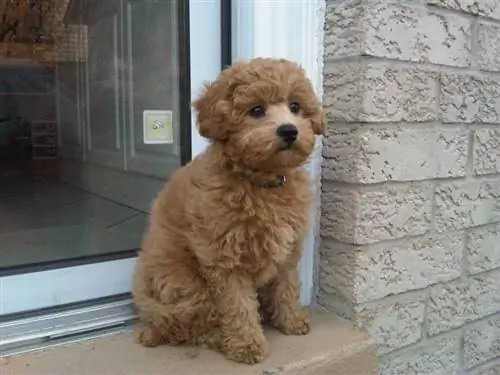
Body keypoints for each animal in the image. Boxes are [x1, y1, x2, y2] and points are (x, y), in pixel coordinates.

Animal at [133, 56, 326, 364]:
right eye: (256, 110)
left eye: (295, 106)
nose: (289, 130)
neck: (261, 184)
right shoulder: (223, 258)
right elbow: (237, 305)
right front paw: (247, 344)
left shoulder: (287, 251)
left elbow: (287, 286)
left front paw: (292, 320)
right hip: (187, 286)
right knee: (191, 326)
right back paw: (218, 339)